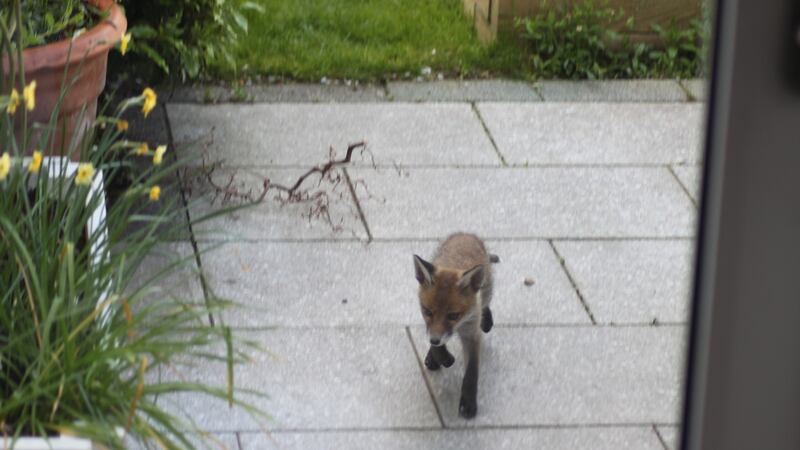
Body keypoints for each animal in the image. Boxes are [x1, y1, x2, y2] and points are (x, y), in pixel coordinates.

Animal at [413, 232, 499, 419]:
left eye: (453, 315)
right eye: (428, 311)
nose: (435, 340)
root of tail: (465, 234)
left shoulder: (472, 333)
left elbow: (472, 372)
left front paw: (468, 403)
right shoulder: (429, 327)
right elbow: (436, 346)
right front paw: (442, 356)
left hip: (486, 290)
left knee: (485, 304)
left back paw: (487, 320)